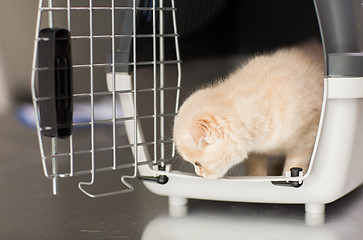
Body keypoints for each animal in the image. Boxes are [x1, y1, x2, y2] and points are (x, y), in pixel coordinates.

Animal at [173, 40, 324, 178]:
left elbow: (295, 167)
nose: (198, 174)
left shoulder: (308, 136)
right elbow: (255, 168)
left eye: (197, 163)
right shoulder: (256, 151)